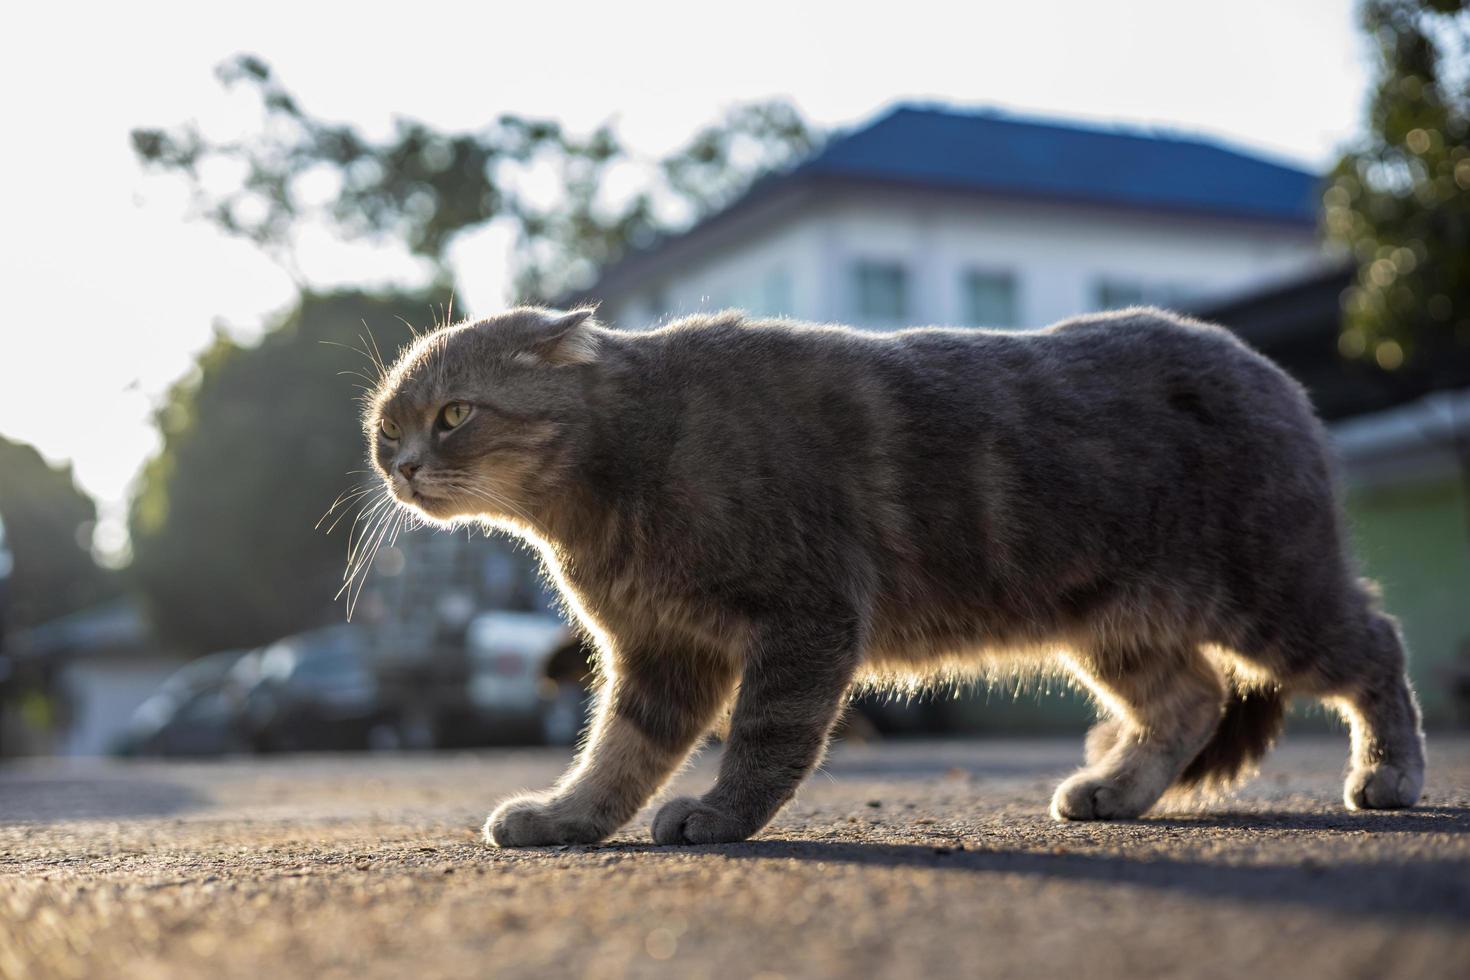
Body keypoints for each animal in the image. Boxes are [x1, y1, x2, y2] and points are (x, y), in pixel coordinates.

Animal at [364, 304, 1422, 846]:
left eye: (454, 415)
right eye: (387, 425)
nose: (401, 466)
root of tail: (1267, 366)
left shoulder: (805, 617)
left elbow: (765, 738)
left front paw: (719, 815)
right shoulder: (663, 652)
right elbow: (621, 750)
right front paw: (570, 815)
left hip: (1273, 590)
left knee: (1375, 644)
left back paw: (1390, 772)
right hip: (1116, 623)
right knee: (1189, 699)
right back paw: (1116, 789)